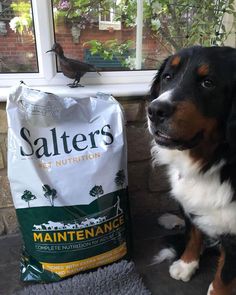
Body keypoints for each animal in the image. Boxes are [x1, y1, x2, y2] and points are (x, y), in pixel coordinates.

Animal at [148, 45, 236, 294]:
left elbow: (225, 273)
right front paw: (186, 264)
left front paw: (218, 291)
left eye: (208, 83)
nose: (155, 110)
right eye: (168, 77)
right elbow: (192, 232)